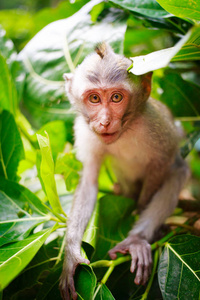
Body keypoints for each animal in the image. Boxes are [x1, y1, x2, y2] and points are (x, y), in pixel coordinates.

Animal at [59, 42, 189, 300]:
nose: (105, 121)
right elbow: (89, 181)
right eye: (95, 98)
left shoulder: (155, 123)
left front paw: (140, 212)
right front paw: (71, 253)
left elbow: (163, 161)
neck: (126, 129)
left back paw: (137, 240)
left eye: (116, 97)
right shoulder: (85, 131)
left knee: (177, 172)